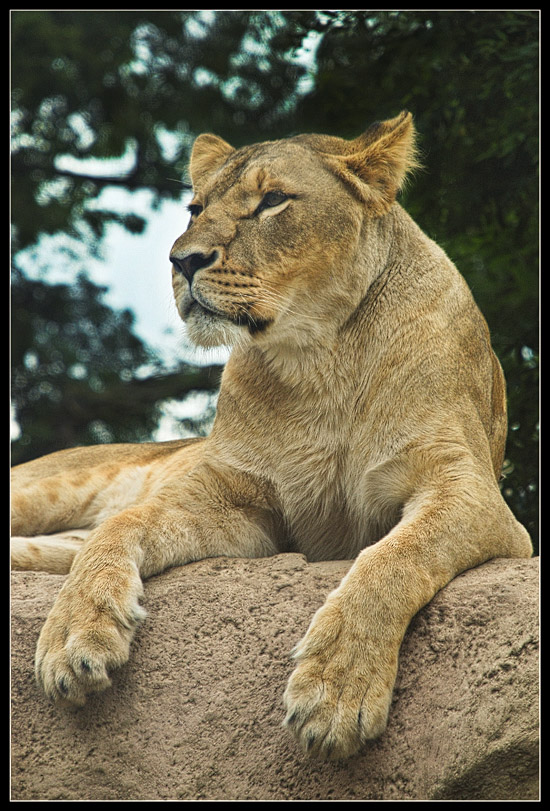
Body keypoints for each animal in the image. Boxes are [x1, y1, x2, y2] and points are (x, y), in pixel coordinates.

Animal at [11, 111, 532, 760]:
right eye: (195, 207)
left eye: (272, 201)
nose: (182, 261)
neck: (321, 358)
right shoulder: (237, 503)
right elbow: (119, 527)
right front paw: (73, 635)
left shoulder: (473, 494)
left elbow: (392, 558)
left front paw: (335, 688)